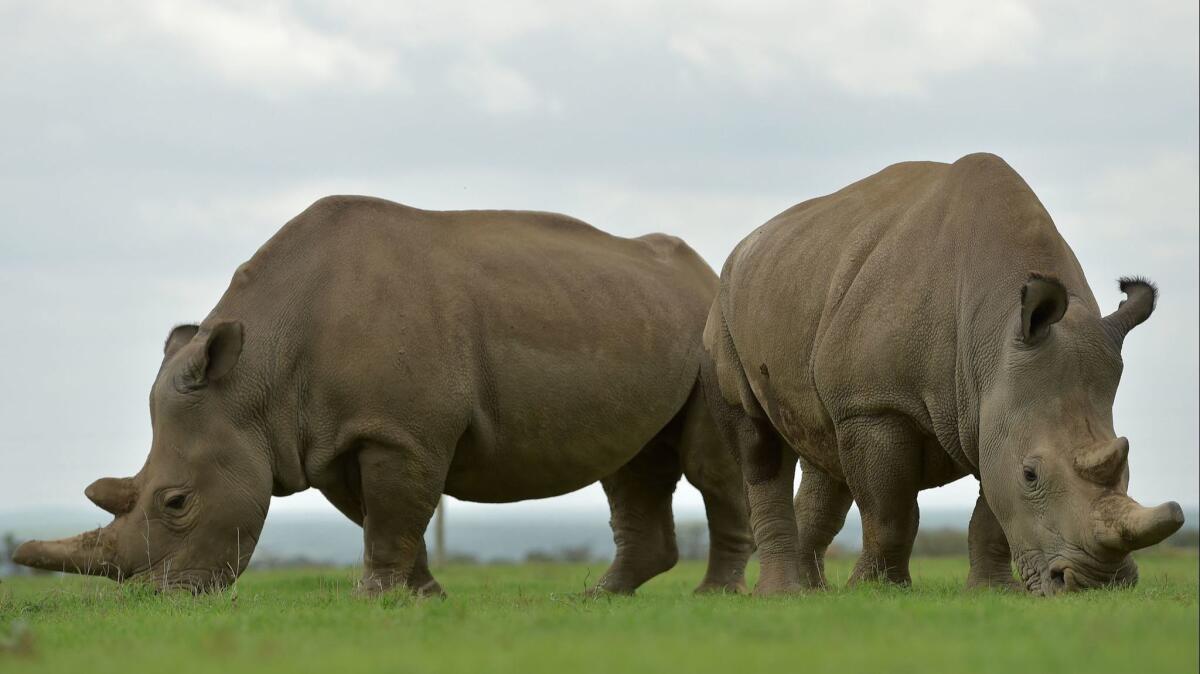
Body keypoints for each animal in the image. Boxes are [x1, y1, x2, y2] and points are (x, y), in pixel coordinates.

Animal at [14, 194, 748, 592]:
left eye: (176, 502)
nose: (157, 597)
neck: (253, 378)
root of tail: (706, 273)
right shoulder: (330, 437)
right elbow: (386, 518)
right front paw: (419, 597)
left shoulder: (399, 431)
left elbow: (395, 514)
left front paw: (375, 599)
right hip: (632, 315)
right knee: (631, 465)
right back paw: (599, 597)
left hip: (713, 331)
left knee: (711, 465)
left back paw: (713, 598)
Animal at [700, 152, 1180, 592]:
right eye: (1031, 475)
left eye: (1128, 468)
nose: (1100, 584)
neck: (994, 329)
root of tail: (744, 247)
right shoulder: (875, 405)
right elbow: (890, 513)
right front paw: (877, 591)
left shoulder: (994, 408)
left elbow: (990, 514)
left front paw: (991, 592)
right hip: (724, 311)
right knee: (758, 443)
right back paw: (781, 594)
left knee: (823, 451)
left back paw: (810, 594)